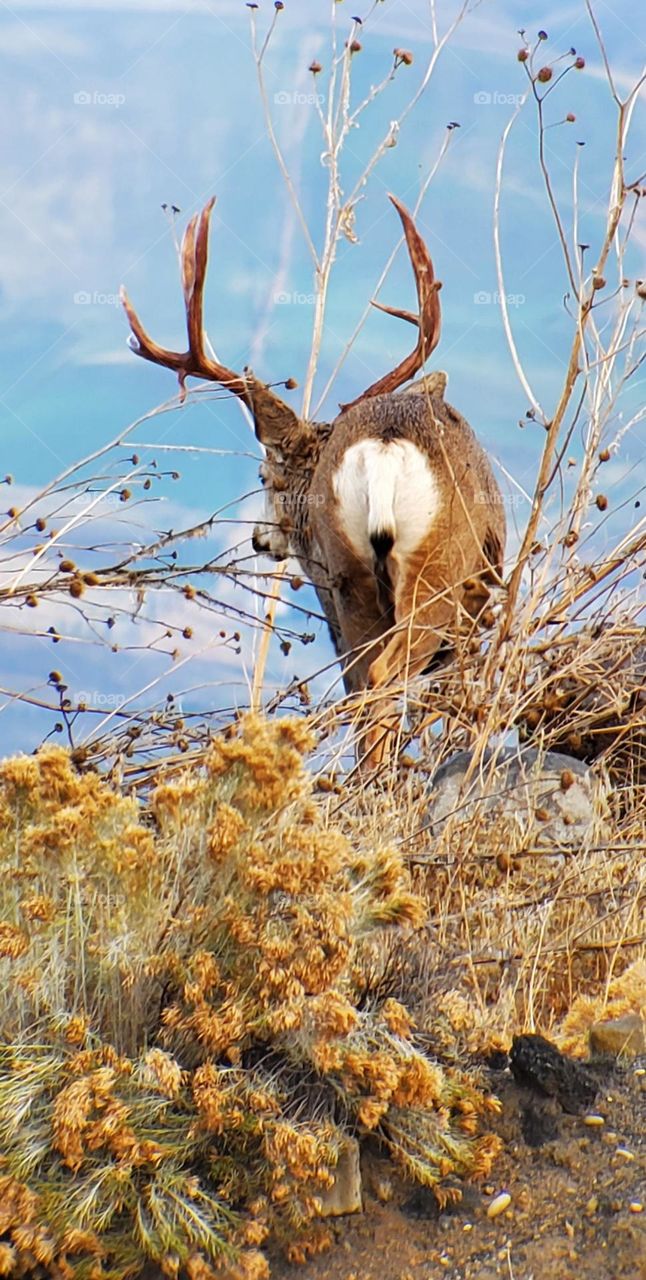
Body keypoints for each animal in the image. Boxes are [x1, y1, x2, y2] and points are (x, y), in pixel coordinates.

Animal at [121, 195, 506, 768]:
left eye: (264, 473)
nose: (259, 540)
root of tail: (384, 447)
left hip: (350, 578)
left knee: (365, 683)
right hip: (435, 571)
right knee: (385, 680)